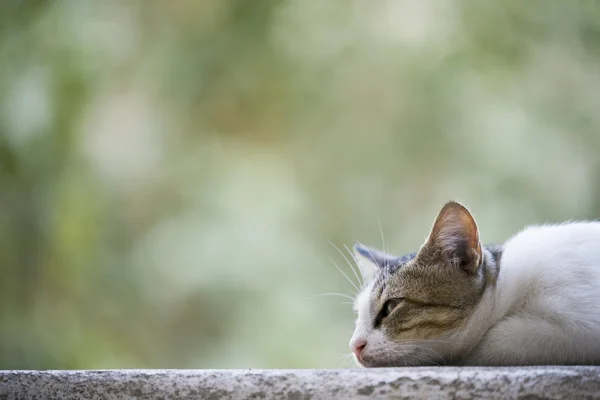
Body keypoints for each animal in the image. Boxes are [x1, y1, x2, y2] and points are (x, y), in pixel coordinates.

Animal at [346, 202, 600, 368]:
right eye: (358, 314)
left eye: (391, 306)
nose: (354, 346)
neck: (506, 286)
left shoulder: (577, 326)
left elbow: (494, 342)